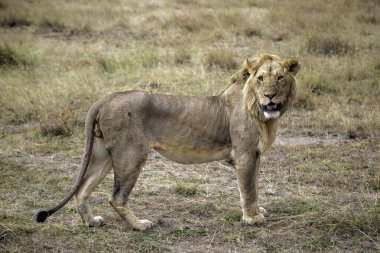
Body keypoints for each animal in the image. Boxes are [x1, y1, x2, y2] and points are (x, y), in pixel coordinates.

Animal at [35, 53, 300, 231]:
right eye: (261, 79)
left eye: (280, 78)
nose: (270, 96)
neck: (261, 113)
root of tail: (106, 98)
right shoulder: (244, 154)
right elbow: (248, 189)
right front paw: (253, 218)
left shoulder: (255, 154)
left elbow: (254, 185)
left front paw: (258, 211)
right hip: (131, 154)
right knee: (116, 197)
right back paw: (139, 225)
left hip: (103, 156)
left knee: (82, 191)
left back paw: (91, 222)